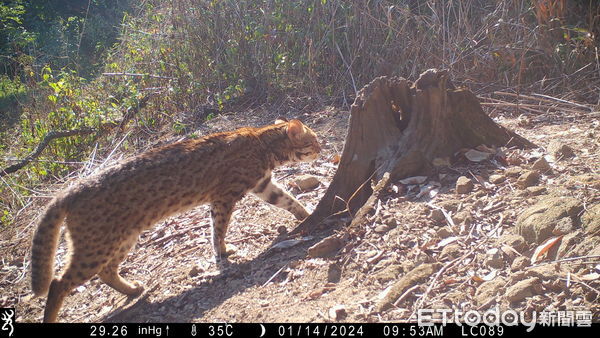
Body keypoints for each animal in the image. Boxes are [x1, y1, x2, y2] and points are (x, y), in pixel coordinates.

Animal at [29, 119, 318, 322]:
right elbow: (218, 229)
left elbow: (289, 199)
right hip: (97, 245)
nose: (323, 147)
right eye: (314, 141)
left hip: (123, 237)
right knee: (58, 283)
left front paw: (307, 214)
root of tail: (70, 190)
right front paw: (222, 253)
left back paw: (132, 290)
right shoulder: (224, 197)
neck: (263, 143)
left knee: (106, 271)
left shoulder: (263, 185)